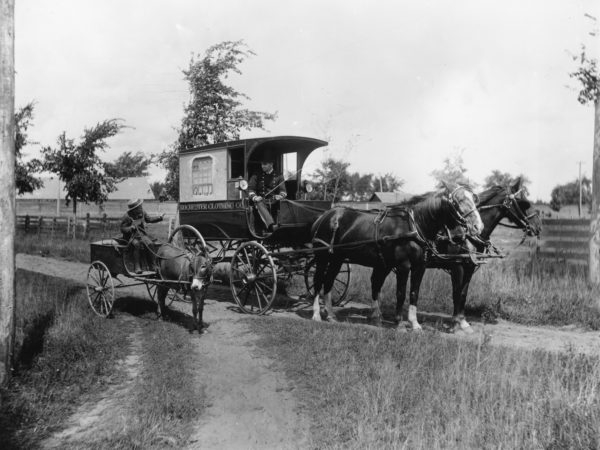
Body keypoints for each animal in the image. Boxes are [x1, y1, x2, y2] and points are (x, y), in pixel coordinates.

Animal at [310, 181, 482, 328]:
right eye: (459, 200)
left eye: (474, 199)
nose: (478, 226)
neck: (415, 225)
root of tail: (324, 216)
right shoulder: (403, 266)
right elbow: (400, 293)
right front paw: (399, 323)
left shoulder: (420, 267)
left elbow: (414, 293)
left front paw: (414, 324)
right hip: (322, 257)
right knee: (318, 282)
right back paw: (317, 314)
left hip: (337, 259)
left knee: (329, 282)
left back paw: (331, 315)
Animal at [428, 178, 540, 332]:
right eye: (524, 203)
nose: (538, 227)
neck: (467, 234)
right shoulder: (457, 266)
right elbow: (456, 292)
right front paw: (455, 323)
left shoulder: (469, 268)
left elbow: (463, 294)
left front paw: (463, 322)